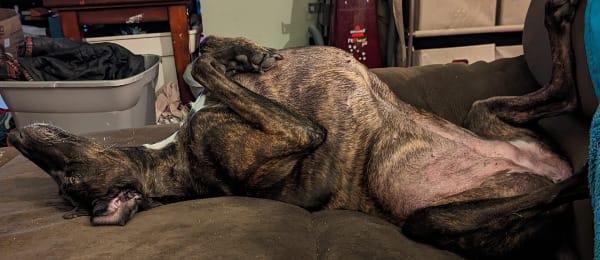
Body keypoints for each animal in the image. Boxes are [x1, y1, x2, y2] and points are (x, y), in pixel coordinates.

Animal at [8, 0, 592, 258]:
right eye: (70, 181)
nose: (13, 135)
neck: (167, 158)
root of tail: (545, 168)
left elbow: (203, 52)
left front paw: (245, 52)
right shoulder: (298, 134)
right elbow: (201, 65)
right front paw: (234, 60)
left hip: (482, 112)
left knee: (565, 95)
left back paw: (559, 19)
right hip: (432, 221)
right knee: (558, 186)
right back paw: (584, 176)